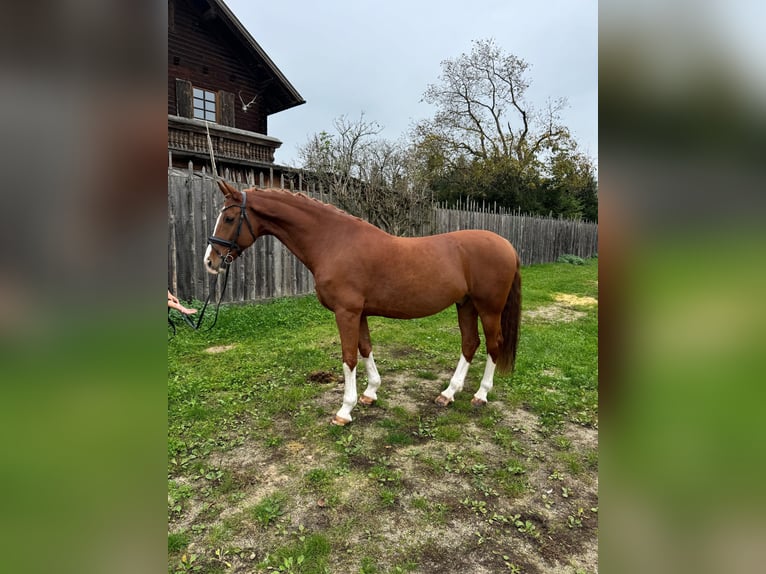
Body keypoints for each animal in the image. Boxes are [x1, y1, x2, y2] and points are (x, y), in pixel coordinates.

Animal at [204, 181, 520, 428]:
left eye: (229, 218)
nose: (210, 261)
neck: (334, 242)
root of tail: (506, 245)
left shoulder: (347, 313)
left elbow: (349, 357)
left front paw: (345, 410)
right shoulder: (361, 313)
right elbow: (365, 348)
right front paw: (370, 393)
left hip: (489, 308)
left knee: (493, 344)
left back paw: (480, 395)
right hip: (465, 304)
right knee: (469, 343)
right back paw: (448, 393)